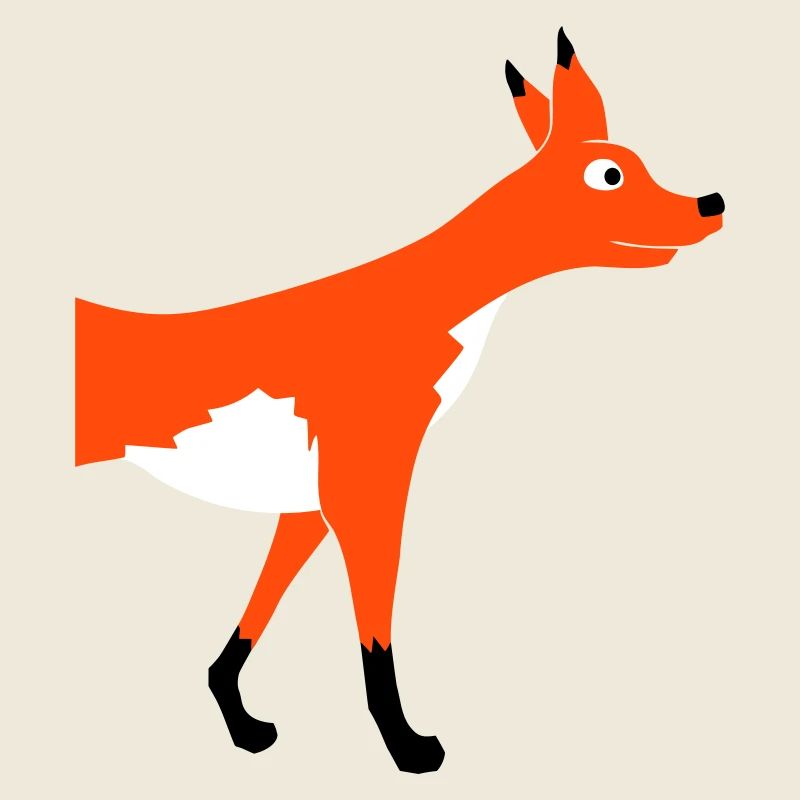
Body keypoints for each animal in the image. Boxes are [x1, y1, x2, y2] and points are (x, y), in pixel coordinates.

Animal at [74, 29, 724, 773]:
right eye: (610, 175)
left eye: (642, 165)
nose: (710, 202)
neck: (414, 308)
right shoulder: (367, 494)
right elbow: (375, 639)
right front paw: (405, 746)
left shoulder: (310, 505)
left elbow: (249, 624)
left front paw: (239, 719)